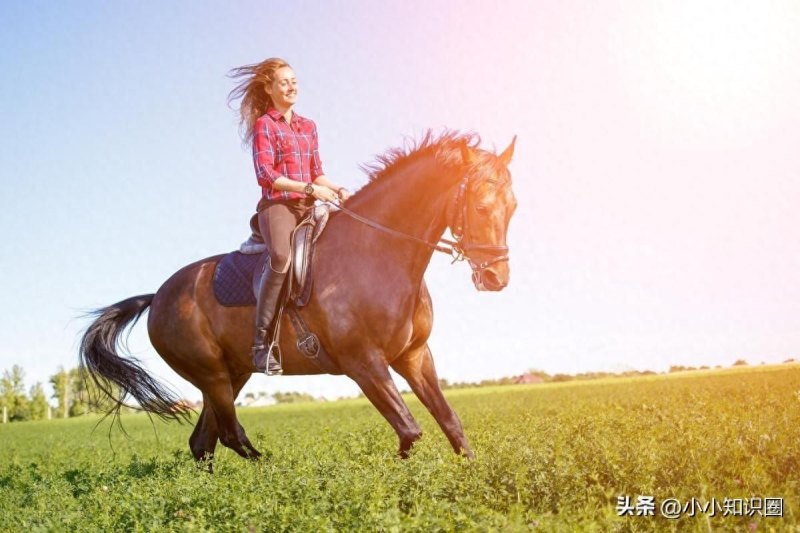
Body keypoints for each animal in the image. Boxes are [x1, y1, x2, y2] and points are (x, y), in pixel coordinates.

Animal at [79, 131, 520, 464]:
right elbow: (410, 431)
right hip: (212, 375)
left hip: (230, 375)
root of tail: (158, 296)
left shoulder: (414, 356)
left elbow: (450, 423)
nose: (496, 277)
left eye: (512, 207)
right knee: (232, 437)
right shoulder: (363, 363)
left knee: (204, 442)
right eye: (481, 206)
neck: (378, 252)